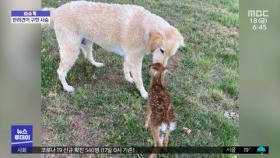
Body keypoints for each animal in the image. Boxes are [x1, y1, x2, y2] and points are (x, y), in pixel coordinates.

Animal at [47, 0, 185, 99]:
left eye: (171, 55)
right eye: (161, 50)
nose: (162, 71)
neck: (146, 28)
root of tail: (56, 11)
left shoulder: (129, 56)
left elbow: (126, 68)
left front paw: (129, 79)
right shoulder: (135, 59)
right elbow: (139, 79)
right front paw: (144, 93)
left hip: (87, 42)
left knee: (88, 56)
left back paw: (96, 64)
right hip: (71, 51)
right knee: (60, 71)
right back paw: (66, 87)